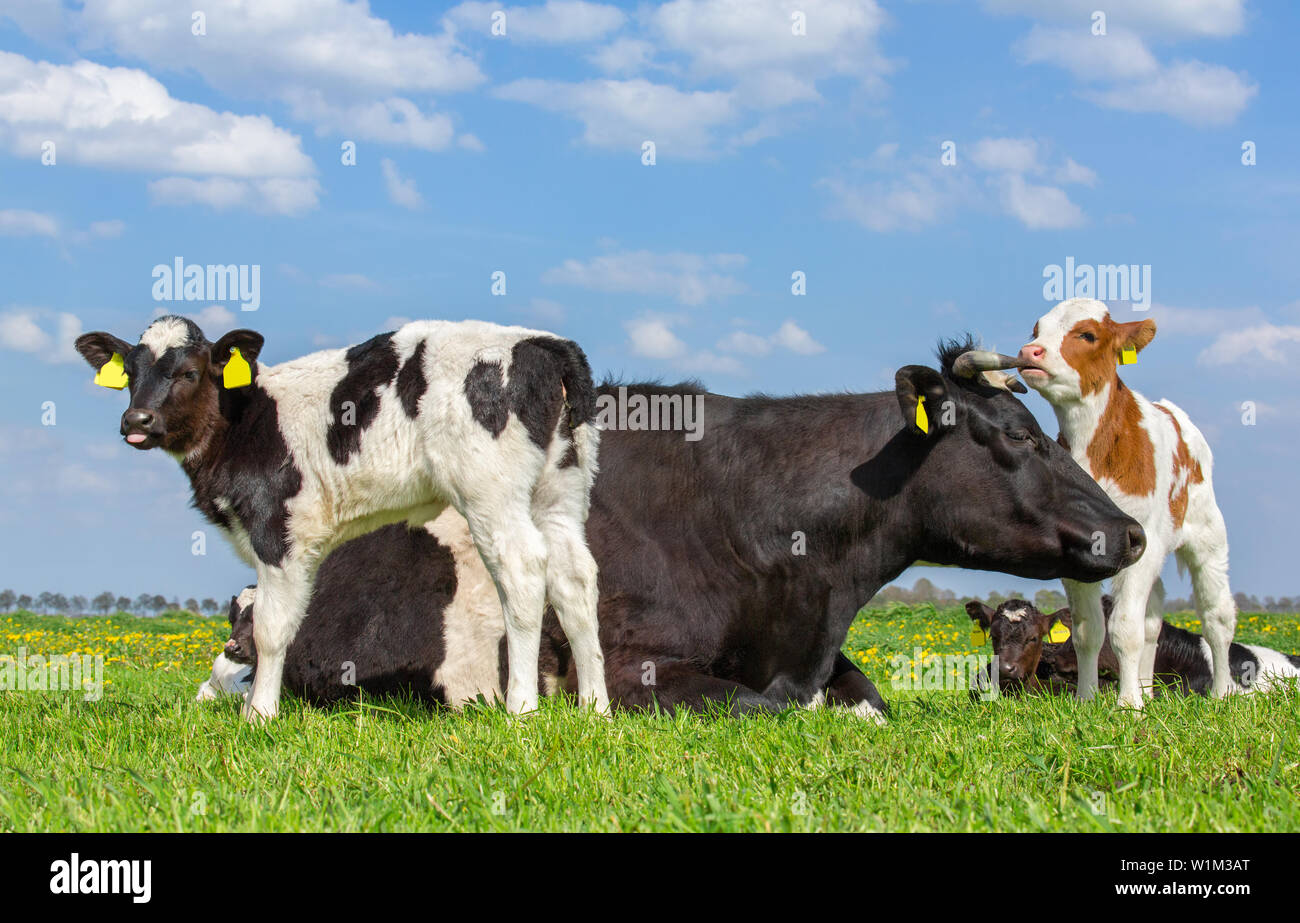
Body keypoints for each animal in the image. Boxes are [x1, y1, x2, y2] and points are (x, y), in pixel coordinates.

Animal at [77, 318, 608, 722]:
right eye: (129, 373)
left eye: (188, 372)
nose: (137, 421)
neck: (245, 418)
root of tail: (542, 342)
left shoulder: (279, 532)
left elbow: (271, 628)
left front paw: (258, 715)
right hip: (560, 492)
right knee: (575, 580)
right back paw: (594, 709)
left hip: (491, 493)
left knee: (523, 573)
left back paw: (521, 708)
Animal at [1019, 300, 1232, 712]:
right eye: (1037, 330)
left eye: (1087, 335)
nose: (1029, 351)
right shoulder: (1080, 553)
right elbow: (1087, 630)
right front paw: (1088, 699)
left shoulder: (1143, 540)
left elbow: (1124, 629)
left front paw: (1128, 705)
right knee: (1152, 621)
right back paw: (1148, 690)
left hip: (1207, 537)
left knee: (1217, 617)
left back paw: (1222, 693)